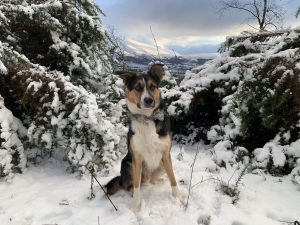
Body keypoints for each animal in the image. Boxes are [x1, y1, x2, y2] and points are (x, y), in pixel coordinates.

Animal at [105, 63, 183, 213]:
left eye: (152, 86)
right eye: (137, 87)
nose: (149, 100)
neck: (147, 118)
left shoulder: (166, 153)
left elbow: (173, 178)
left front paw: (178, 198)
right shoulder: (137, 157)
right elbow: (136, 186)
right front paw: (135, 208)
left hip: (161, 165)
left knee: (153, 179)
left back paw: (158, 181)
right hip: (128, 164)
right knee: (129, 184)